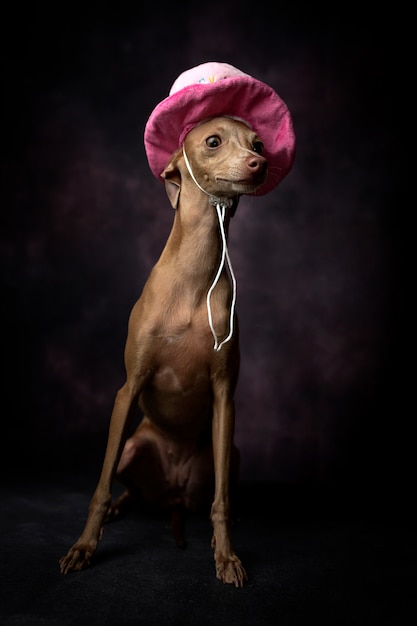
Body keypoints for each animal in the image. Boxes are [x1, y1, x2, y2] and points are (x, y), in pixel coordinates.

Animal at [58, 116, 266, 584]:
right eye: (213, 141)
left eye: (259, 143)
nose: (259, 164)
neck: (194, 275)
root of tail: (172, 492)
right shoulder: (129, 387)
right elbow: (99, 488)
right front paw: (84, 547)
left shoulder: (225, 396)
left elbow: (221, 500)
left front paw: (227, 556)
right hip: (133, 448)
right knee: (129, 488)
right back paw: (120, 508)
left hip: (229, 454)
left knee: (213, 496)